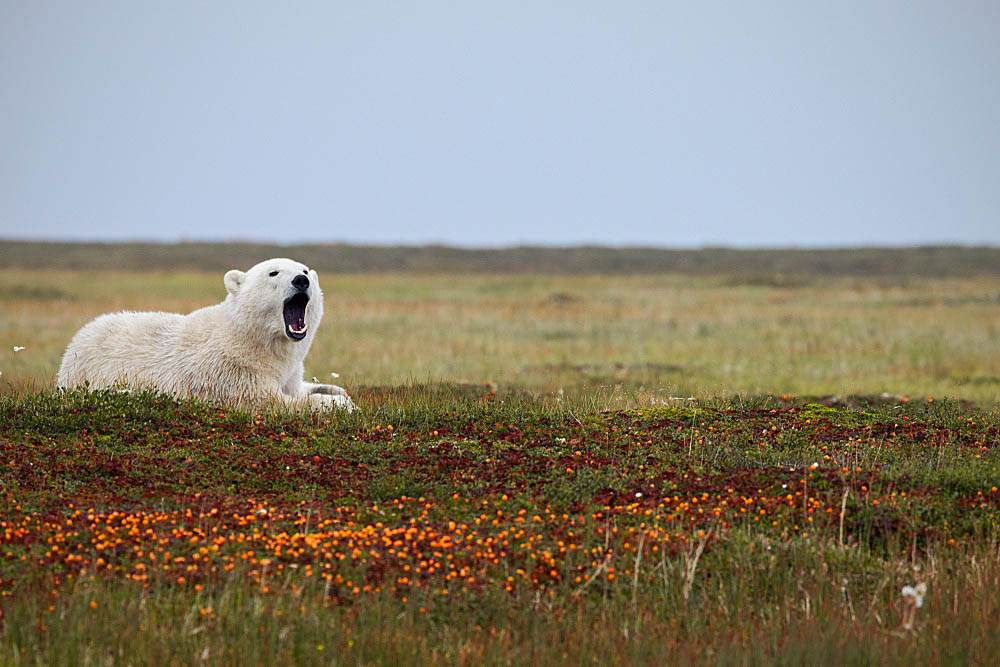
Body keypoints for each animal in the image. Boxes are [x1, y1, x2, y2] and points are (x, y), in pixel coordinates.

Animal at [58, 258, 354, 410]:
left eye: (305, 271)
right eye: (274, 273)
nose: (301, 280)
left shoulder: (288, 369)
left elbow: (296, 387)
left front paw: (337, 390)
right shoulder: (233, 373)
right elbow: (271, 401)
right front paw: (339, 404)